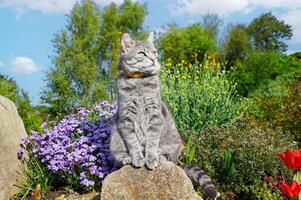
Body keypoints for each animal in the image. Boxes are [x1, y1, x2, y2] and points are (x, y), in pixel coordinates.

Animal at [109, 32, 218, 198]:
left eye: (154, 52)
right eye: (142, 53)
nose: (154, 59)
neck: (140, 82)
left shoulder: (155, 116)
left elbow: (152, 141)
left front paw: (151, 158)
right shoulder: (126, 118)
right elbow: (133, 142)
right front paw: (137, 158)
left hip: (175, 143)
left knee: (169, 158)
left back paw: (159, 157)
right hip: (115, 137)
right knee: (120, 154)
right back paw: (127, 158)